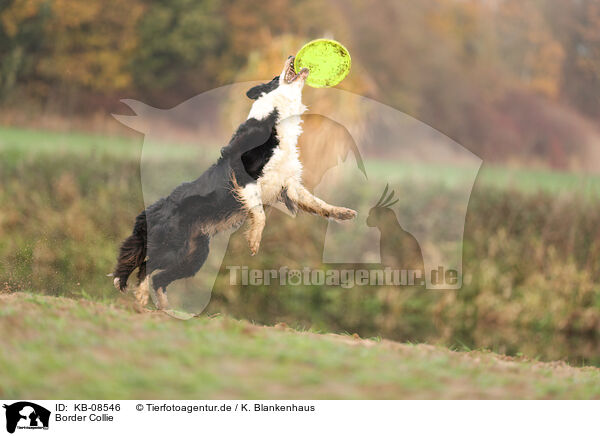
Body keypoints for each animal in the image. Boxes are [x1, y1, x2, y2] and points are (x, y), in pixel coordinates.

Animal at [111, 57, 356, 310]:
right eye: (273, 78)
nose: (290, 56)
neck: (275, 121)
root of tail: (151, 209)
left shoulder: (289, 184)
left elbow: (318, 203)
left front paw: (342, 212)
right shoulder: (243, 174)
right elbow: (260, 213)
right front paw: (254, 240)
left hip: (193, 255)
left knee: (159, 277)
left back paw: (164, 308)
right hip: (173, 246)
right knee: (145, 267)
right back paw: (142, 299)